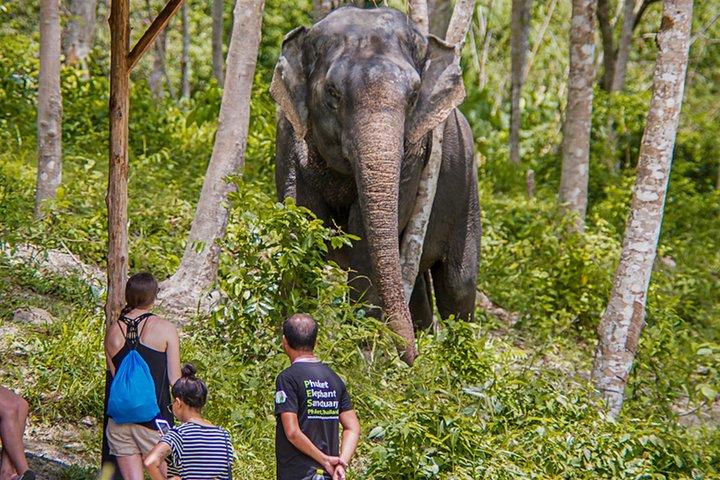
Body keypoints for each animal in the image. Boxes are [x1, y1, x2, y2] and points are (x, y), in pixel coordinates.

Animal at [270, 6, 480, 364]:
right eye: (332, 92)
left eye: (414, 96)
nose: (408, 358)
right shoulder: (288, 135)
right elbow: (300, 224)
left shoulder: (414, 154)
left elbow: (366, 239)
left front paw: (362, 352)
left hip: (468, 191)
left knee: (458, 283)